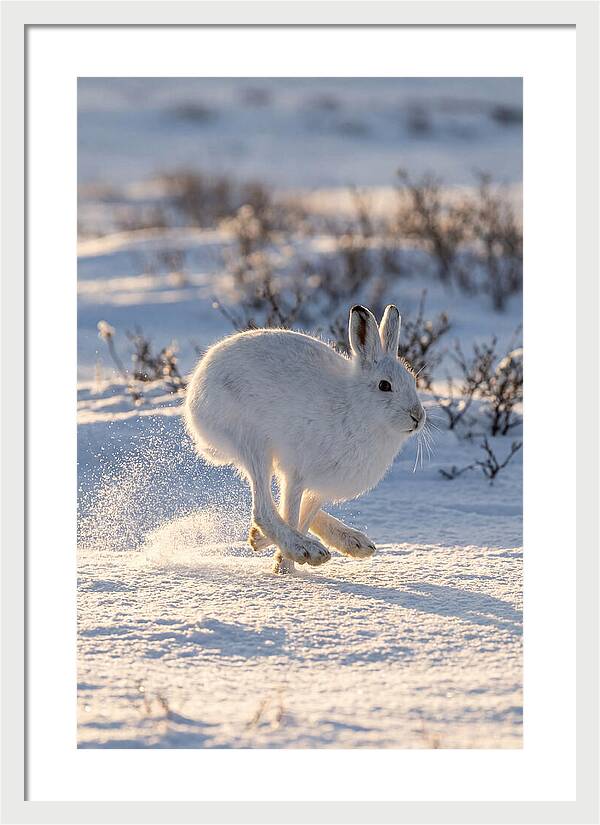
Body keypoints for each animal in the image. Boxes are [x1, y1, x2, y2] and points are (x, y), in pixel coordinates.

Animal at [184, 304, 425, 573]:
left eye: (413, 381)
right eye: (384, 385)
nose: (418, 416)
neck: (355, 407)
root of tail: (195, 390)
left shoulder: (320, 486)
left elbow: (304, 515)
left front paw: (278, 558)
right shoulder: (298, 473)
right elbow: (291, 513)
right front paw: (287, 567)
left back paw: (352, 542)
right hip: (253, 442)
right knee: (263, 509)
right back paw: (305, 548)